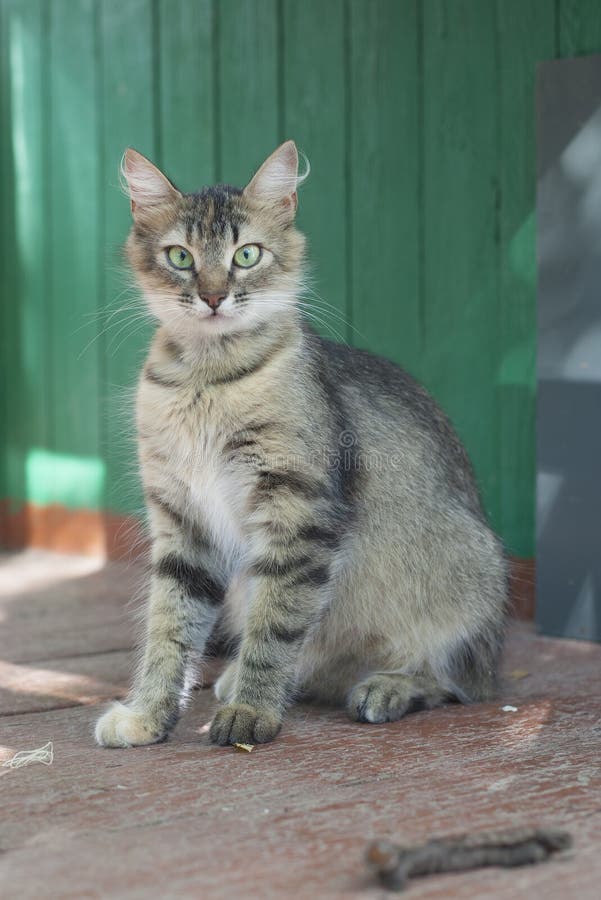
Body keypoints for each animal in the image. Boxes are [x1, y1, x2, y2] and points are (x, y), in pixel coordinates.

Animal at [94, 141, 506, 744]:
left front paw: (252, 714)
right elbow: (169, 630)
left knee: (460, 684)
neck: (206, 381)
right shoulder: (183, 520)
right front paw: (149, 715)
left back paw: (386, 686)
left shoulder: (298, 511)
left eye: (246, 255)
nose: (214, 297)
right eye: (180, 258)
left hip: (471, 580)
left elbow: (277, 627)